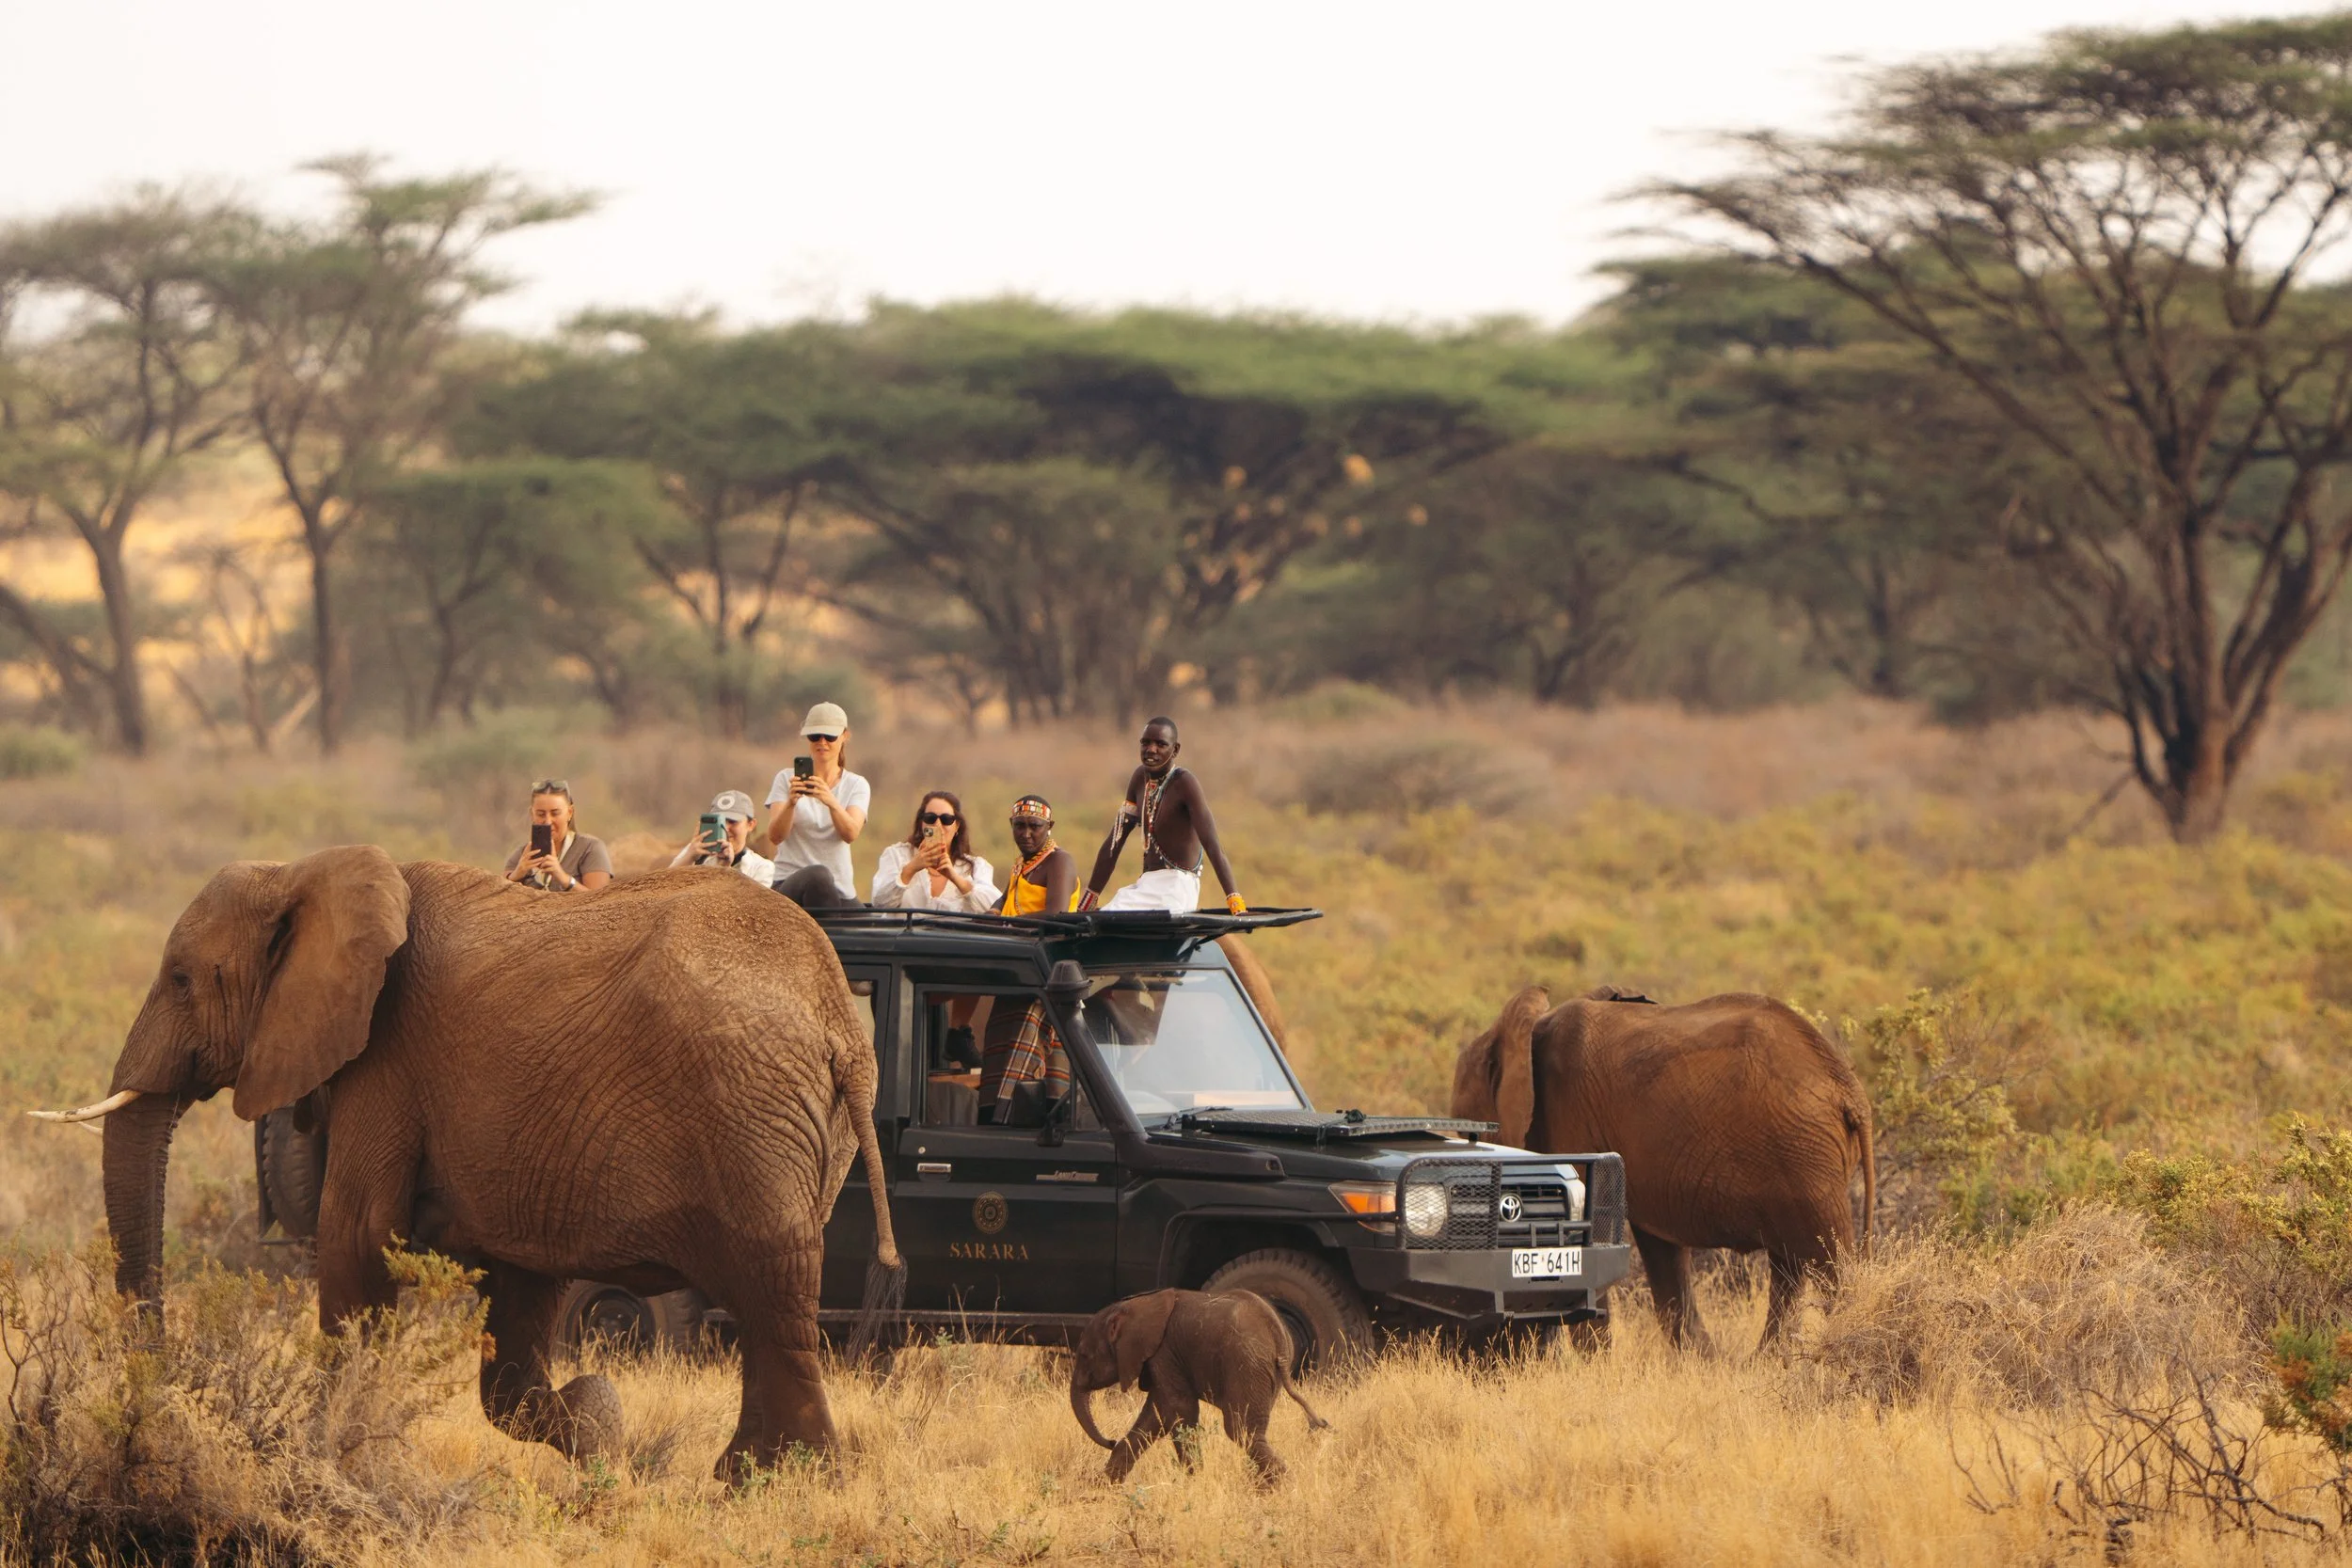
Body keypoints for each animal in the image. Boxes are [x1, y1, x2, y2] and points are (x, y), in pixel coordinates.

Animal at [35, 845, 901, 1479]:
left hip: (751, 1113)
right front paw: (599, 1423)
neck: (304, 872)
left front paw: (320, 1463)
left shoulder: (387, 1061)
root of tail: (839, 1023)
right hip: (797, 1129)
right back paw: (747, 1475)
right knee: (770, 1298)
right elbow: (516, 1299)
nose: (159, 1384)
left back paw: (780, 1479)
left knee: (770, 1286)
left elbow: (357, 1238)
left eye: (182, 978)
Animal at [1069, 1288, 1329, 1484]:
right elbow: (1157, 1416)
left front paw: (1194, 1481)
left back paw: (1282, 1487)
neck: (1135, 1305)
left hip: (1246, 1363)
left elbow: (1177, 1411)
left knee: (1241, 1430)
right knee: (1251, 1432)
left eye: (1083, 1355)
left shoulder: (1164, 1353)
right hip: (1263, 1371)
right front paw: (1104, 1485)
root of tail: (1276, 1332)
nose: (1110, 1440)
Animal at [1451, 986, 1874, 1349]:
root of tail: (1850, 1091)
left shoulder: (1569, 1122)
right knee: (1789, 1266)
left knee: (1827, 1261)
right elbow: (1662, 1253)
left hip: (1805, 1159)